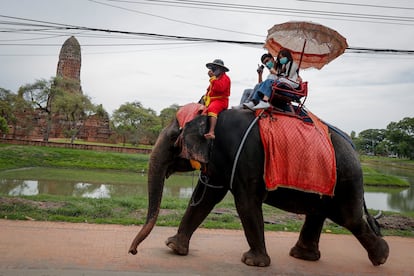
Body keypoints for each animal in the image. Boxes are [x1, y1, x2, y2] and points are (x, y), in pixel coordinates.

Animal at [129, 106, 388, 268]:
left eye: (174, 139)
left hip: (347, 179)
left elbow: (245, 204)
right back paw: (303, 256)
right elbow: (205, 198)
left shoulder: (246, 159)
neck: (213, 114)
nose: (132, 252)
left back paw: (382, 257)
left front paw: (253, 263)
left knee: (348, 218)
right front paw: (174, 247)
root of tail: (353, 146)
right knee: (319, 213)